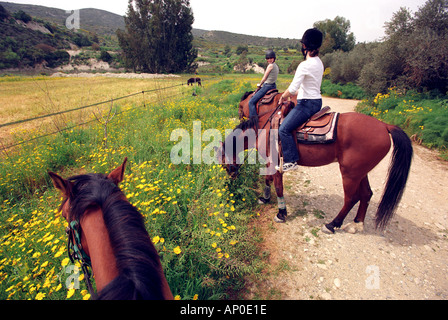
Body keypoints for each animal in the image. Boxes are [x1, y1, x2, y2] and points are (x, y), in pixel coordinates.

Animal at [217, 91, 412, 234]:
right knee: (366, 194)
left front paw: (281, 213)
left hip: (349, 173)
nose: (231, 180)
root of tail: (385, 126)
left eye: (224, 164)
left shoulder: (276, 163)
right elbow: (268, 180)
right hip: (360, 172)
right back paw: (356, 224)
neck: (263, 128)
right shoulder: (270, 162)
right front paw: (264, 198)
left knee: (351, 198)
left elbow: (278, 187)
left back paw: (332, 225)